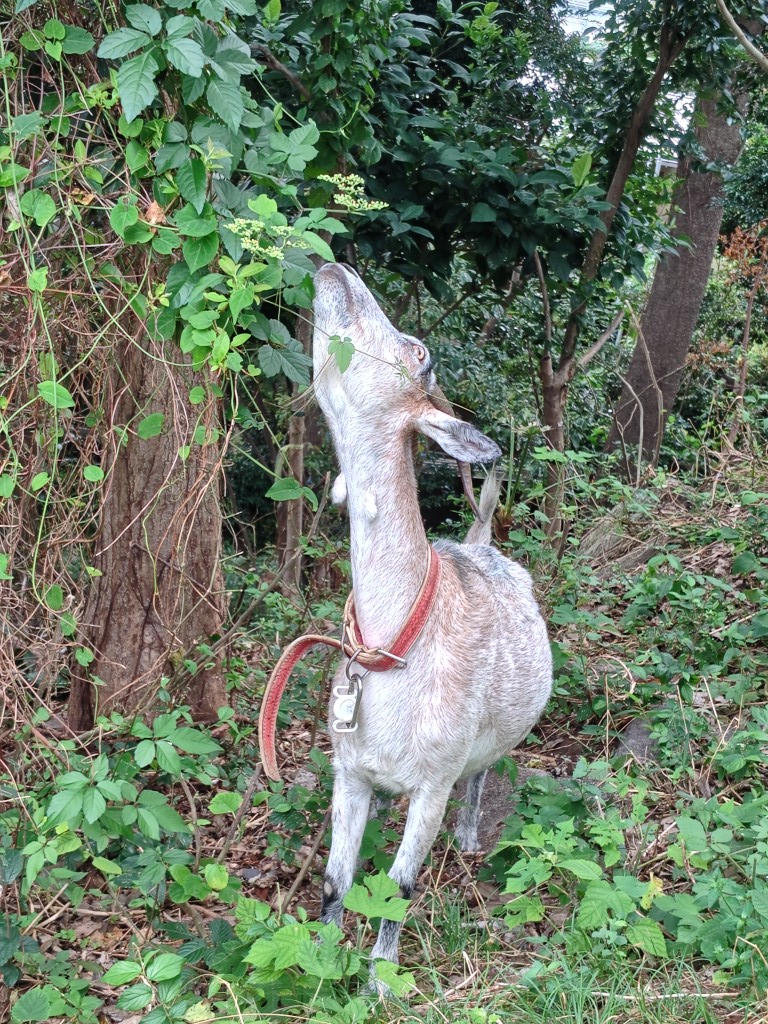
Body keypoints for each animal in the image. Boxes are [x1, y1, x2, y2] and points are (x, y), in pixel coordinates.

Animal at [312, 263, 552, 986]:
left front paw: (378, 980)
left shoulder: (435, 778)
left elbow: (400, 884)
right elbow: (335, 880)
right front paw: (318, 962)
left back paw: (471, 837)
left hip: (497, 733)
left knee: (486, 769)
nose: (336, 269)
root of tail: (481, 541)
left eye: (420, 351)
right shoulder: (348, 771)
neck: (399, 641)